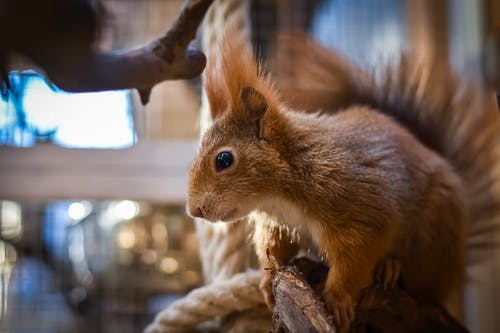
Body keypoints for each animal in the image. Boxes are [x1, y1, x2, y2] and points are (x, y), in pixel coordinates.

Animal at [186, 27, 500, 330]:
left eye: (224, 160)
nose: (194, 210)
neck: (280, 194)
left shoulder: (360, 211)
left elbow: (354, 259)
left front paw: (337, 299)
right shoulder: (280, 225)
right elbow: (275, 250)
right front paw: (266, 283)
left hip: (432, 236)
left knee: (422, 285)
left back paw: (390, 266)